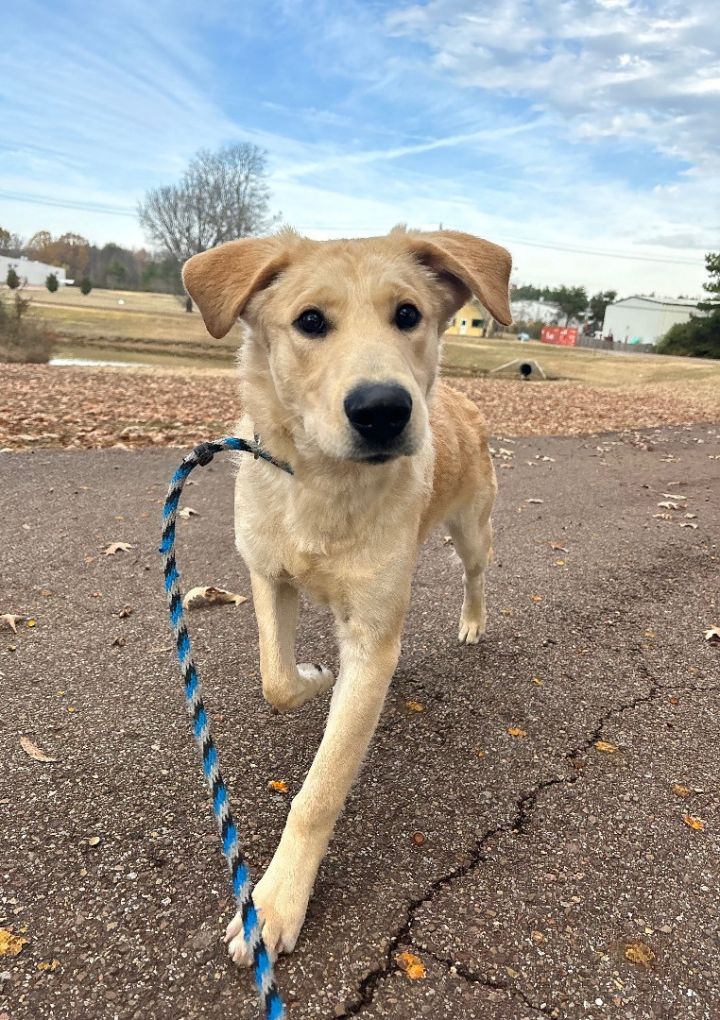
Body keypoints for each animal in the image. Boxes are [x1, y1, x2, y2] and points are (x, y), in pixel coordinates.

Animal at [182, 227, 513, 966]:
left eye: (409, 314)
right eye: (310, 321)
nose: (384, 409)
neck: (324, 484)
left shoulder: (372, 636)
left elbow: (320, 791)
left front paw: (276, 901)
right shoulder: (268, 576)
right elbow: (276, 679)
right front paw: (313, 674)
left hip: (472, 527)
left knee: (478, 570)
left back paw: (473, 620)